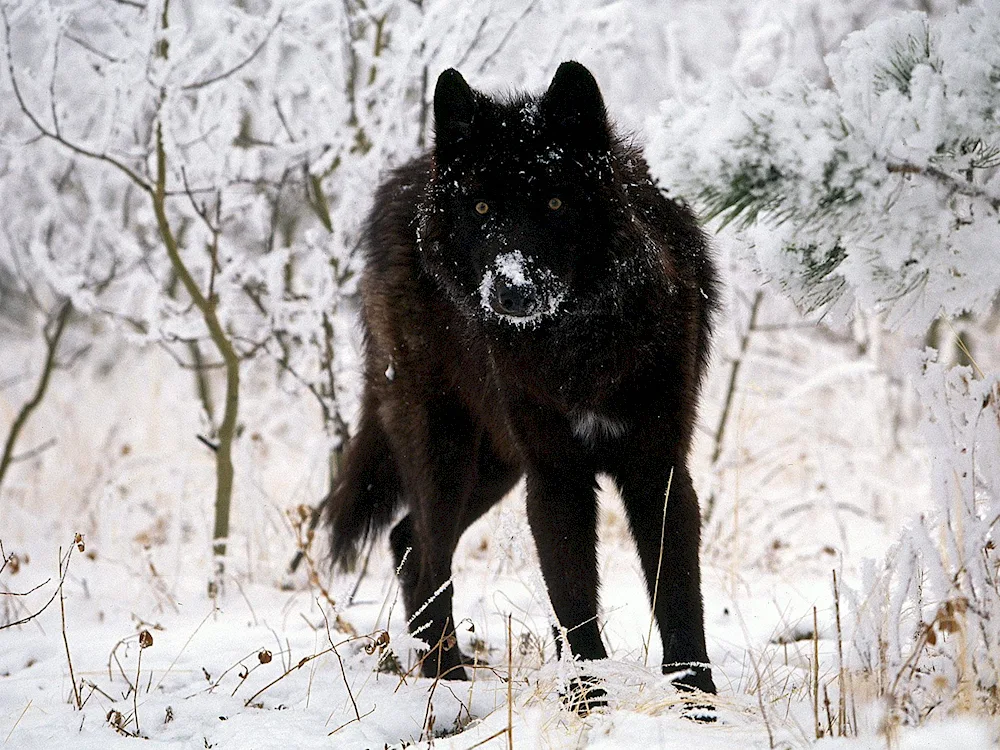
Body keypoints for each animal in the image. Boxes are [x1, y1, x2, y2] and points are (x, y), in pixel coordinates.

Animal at [324, 61, 716, 696]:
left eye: (555, 202)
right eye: (483, 210)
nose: (512, 291)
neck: (576, 347)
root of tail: (404, 180)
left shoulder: (656, 469)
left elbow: (679, 600)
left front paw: (698, 702)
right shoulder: (555, 476)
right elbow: (575, 605)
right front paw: (587, 701)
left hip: (496, 465)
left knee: (407, 540)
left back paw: (445, 678)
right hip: (447, 453)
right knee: (427, 552)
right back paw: (447, 682)